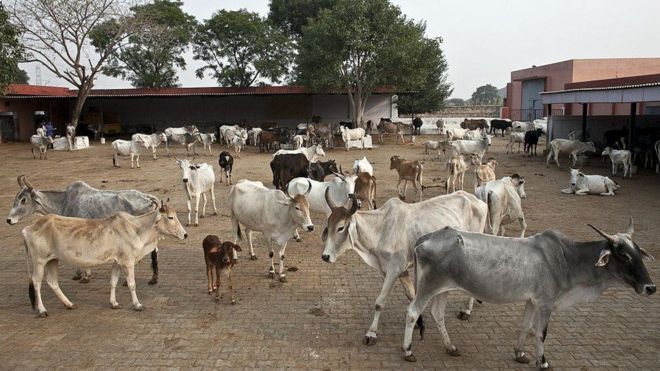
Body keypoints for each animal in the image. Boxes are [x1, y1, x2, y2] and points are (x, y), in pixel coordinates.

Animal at [7, 177, 164, 284]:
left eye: (24, 200)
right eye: (16, 198)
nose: (9, 220)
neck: (63, 202)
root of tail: (147, 197)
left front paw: (83, 275)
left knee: (152, 252)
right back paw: (152, 278)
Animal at [22, 202, 187, 318]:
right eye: (170, 217)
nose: (185, 234)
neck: (137, 229)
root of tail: (28, 228)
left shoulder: (117, 263)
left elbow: (113, 282)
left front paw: (114, 303)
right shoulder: (128, 263)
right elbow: (132, 285)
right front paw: (137, 304)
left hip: (52, 260)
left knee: (52, 282)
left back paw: (69, 304)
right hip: (39, 261)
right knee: (36, 282)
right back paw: (42, 310)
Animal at [322, 192, 488, 346]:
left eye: (340, 228)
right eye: (328, 226)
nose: (325, 256)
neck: (380, 229)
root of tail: (474, 198)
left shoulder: (394, 269)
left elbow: (379, 303)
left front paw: (371, 333)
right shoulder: (397, 271)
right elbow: (411, 294)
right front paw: (420, 324)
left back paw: (466, 311)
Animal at [402, 218, 656, 370]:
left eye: (639, 253)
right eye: (624, 256)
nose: (650, 287)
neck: (567, 259)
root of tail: (427, 237)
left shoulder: (532, 301)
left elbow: (525, 326)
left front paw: (520, 353)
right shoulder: (545, 303)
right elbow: (541, 333)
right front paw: (542, 362)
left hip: (441, 290)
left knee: (437, 315)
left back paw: (451, 347)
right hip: (428, 287)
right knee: (413, 312)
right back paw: (408, 351)